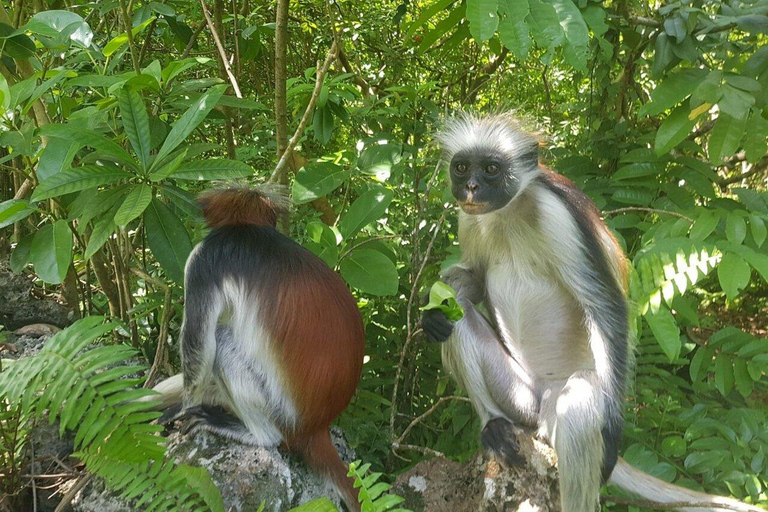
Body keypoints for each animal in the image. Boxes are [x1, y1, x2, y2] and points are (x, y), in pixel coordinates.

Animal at [149, 187, 365, 512]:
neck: (248, 230)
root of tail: (315, 426)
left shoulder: (204, 259)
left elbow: (199, 350)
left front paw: (182, 412)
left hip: (278, 409)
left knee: (221, 340)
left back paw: (257, 435)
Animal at [421, 113, 763, 512]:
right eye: (461, 167)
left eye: (491, 169)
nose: (471, 187)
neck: (511, 210)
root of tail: (540, 401)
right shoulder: (470, 217)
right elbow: (471, 281)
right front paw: (432, 312)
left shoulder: (558, 213)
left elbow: (604, 306)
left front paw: (614, 435)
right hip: (518, 397)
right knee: (457, 316)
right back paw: (492, 422)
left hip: (563, 405)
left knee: (580, 402)